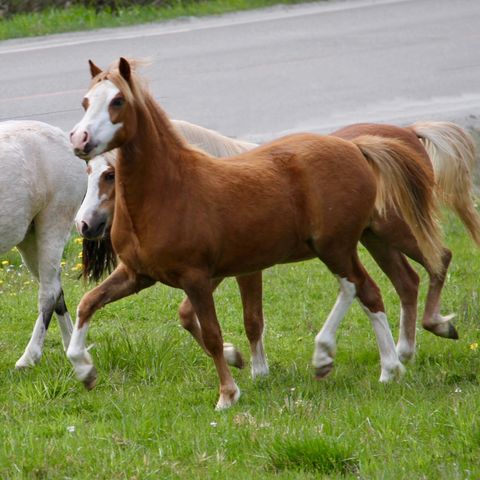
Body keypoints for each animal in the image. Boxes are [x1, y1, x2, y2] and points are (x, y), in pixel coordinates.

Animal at [0, 120, 86, 368]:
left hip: (54, 222)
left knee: (49, 292)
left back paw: (29, 358)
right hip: (29, 238)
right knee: (57, 288)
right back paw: (72, 348)